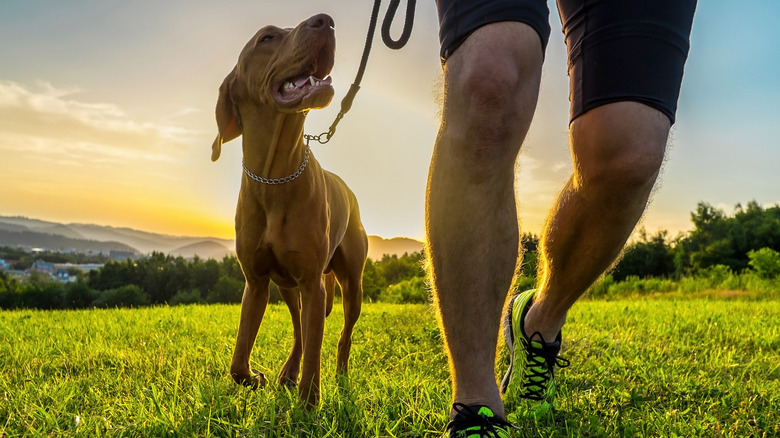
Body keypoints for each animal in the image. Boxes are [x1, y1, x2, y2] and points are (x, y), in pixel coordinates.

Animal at [210, 14, 368, 410]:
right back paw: (286, 372)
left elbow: (315, 353)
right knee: (300, 329)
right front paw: (256, 378)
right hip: (287, 286)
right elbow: (237, 363)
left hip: (350, 283)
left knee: (341, 335)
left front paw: (309, 402)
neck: (274, 176)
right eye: (266, 38)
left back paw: (340, 374)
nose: (325, 20)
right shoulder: (256, 282)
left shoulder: (312, 281)